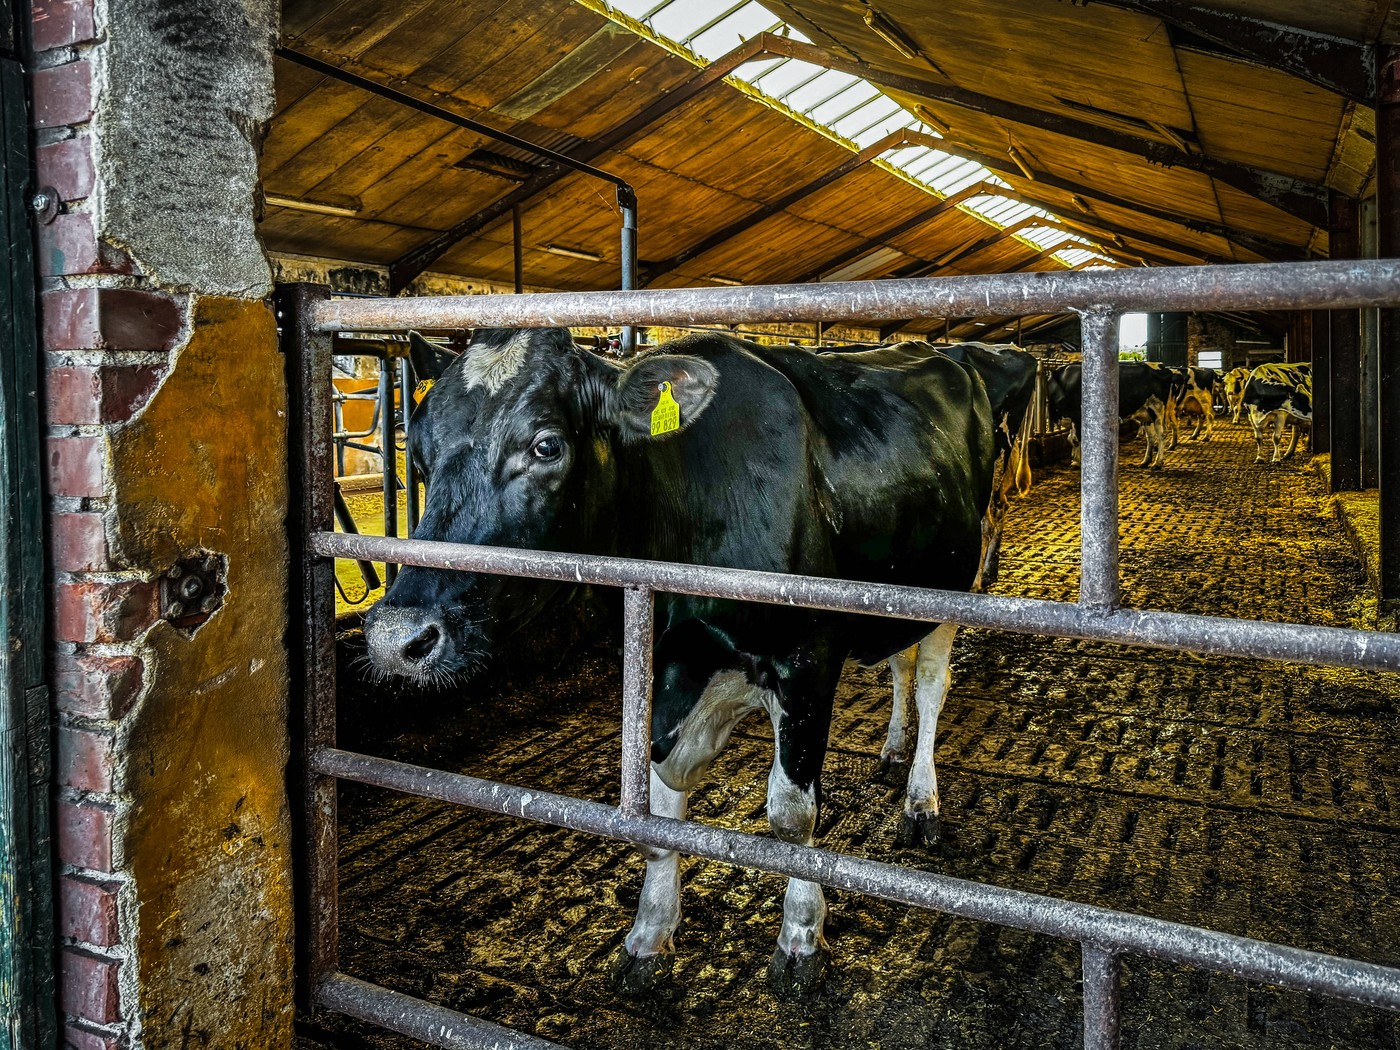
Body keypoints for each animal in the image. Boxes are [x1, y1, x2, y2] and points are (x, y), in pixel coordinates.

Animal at [363, 327, 997, 996]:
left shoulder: (808, 661)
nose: (395, 636)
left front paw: (801, 939)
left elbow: (792, 817)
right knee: (900, 668)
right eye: (419, 455)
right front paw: (650, 933)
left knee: (929, 684)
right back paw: (894, 748)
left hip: (955, 584)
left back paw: (921, 800)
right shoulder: (661, 667)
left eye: (545, 445)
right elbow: (661, 809)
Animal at [1045, 361, 1178, 469]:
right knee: (1150, 437)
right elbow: (1072, 439)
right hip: (1146, 413)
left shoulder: (1078, 416)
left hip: (1157, 409)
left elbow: (1077, 439)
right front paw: (1075, 461)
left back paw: (1158, 463)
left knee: (1161, 435)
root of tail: (1165, 368)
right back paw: (1146, 461)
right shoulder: (1073, 418)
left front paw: (1079, 462)